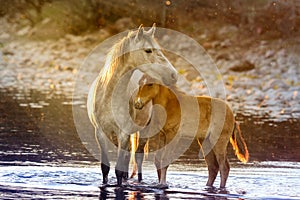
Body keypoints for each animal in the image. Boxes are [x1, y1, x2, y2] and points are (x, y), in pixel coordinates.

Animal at [86, 25, 177, 186]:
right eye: (148, 50)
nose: (174, 75)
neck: (109, 96)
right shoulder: (100, 133)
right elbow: (105, 168)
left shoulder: (123, 134)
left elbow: (118, 169)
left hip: (145, 130)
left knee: (138, 157)